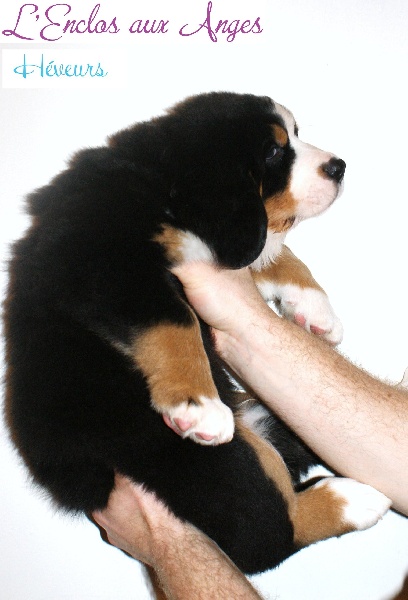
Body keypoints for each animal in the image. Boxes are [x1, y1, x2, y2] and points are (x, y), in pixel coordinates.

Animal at [4, 92, 390, 577]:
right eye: (274, 151)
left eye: (295, 135)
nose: (338, 166)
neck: (167, 185)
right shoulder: (108, 265)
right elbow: (176, 323)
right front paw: (197, 404)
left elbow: (275, 256)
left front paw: (316, 309)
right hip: (201, 460)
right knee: (266, 536)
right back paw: (354, 499)